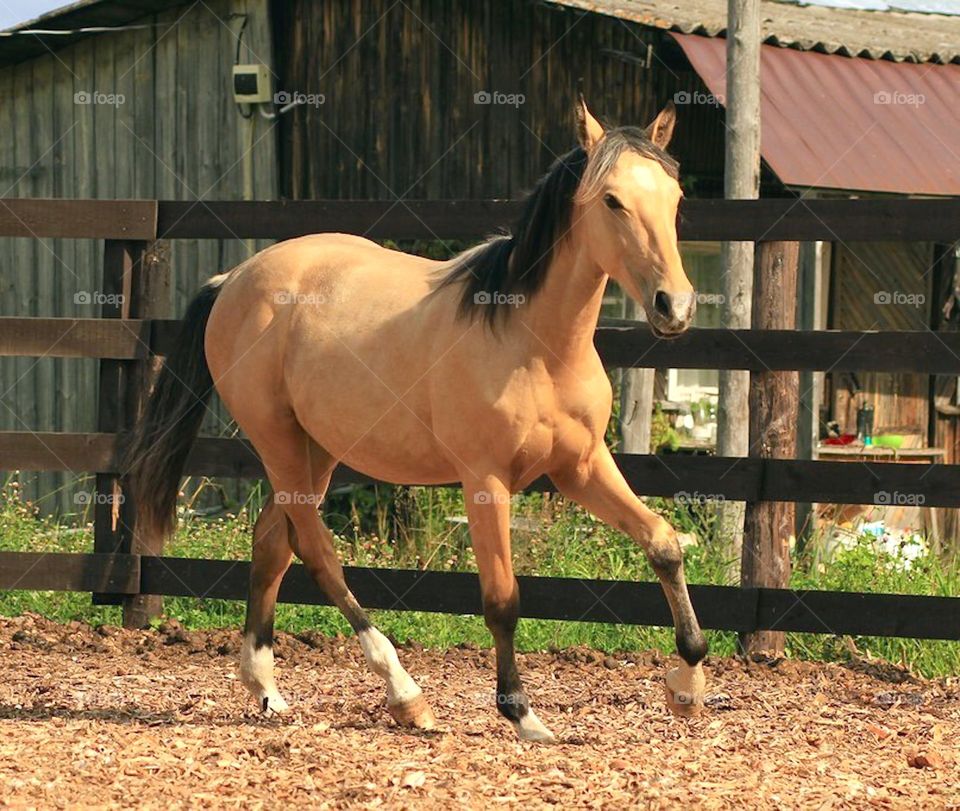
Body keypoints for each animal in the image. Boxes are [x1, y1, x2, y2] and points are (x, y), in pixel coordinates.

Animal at [124, 97, 707, 743]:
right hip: (276, 440)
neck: (532, 342)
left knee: (274, 542)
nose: (675, 307)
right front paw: (523, 715)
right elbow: (502, 599)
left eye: (675, 198)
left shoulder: (580, 467)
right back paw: (404, 694)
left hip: (316, 449)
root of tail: (234, 282)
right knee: (316, 550)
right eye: (612, 200)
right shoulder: (485, 481)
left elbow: (663, 543)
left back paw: (267, 689)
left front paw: (687, 686)